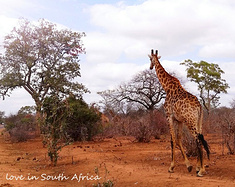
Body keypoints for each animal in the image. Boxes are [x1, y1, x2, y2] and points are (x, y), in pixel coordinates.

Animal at [149, 49, 209, 177]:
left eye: (150, 59)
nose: (150, 67)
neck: (167, 87)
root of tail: (199, 106)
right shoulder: (179, 120)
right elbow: (179, 139)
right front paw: (189, 166)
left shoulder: (169, 116)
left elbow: (172, 140)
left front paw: (171, 167)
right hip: (198, 121)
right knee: (200, 138)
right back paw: (199, 167)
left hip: (190, 121)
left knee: (198, 140)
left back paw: (201, 171)